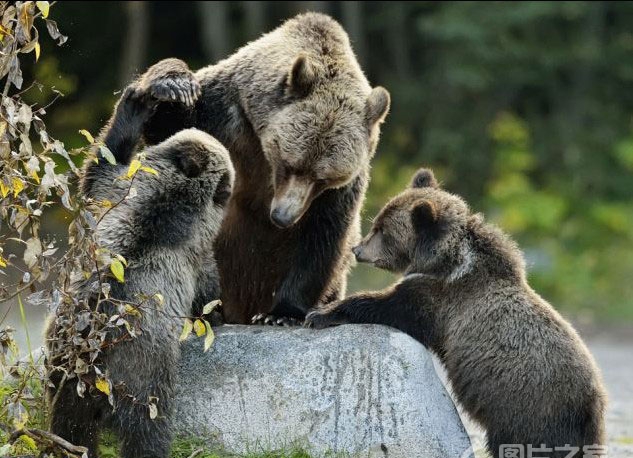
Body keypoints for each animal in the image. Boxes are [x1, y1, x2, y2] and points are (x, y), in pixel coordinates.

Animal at [123, 12, 388, 324]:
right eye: (289, 163)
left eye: (323, 178)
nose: (283, 217)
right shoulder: (223, 113)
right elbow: (171, 128)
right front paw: (172, 85)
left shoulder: (342, 188)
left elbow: (323, 236)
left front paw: (282, 313)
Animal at [306, 170, 608, 458]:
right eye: (376, 222)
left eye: (382, 229)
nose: (357, 249)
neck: (443, 260)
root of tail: (593, 399)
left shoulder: (438, 300)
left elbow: (388, 306)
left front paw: (320, 313)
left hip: (527, 406)